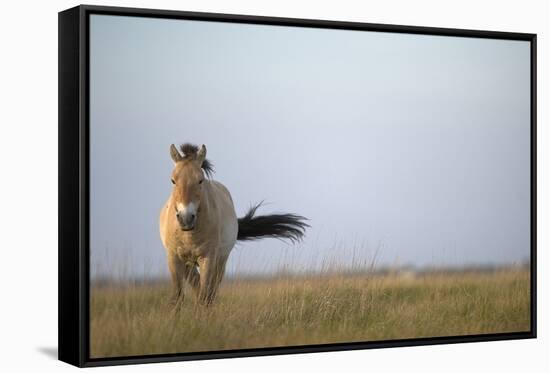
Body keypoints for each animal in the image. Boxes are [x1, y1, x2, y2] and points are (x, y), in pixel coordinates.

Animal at [160, 142, 310, 306]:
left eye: (200, 180)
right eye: (173, 180)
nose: (186, 217)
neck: (189, 235)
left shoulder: (208, 258)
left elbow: (204, 297)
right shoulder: (174, 258)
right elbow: (177, 298)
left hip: (220, 262)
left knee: (210, 292)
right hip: (188, 264)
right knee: (197, 285)